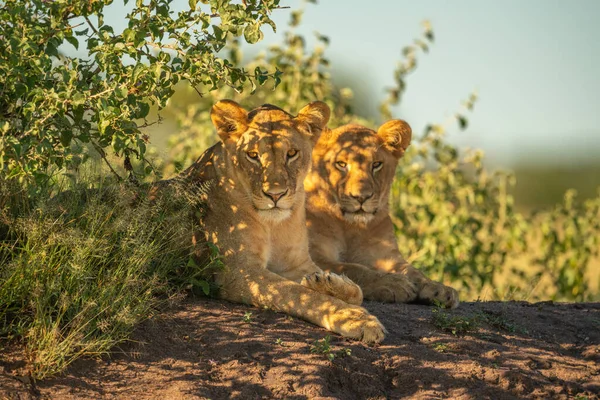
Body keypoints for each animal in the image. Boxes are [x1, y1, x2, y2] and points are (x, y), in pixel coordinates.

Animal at [180, 99, 384, 340]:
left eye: (292, 153)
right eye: (253, 155)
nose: (275, 195)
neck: (274, 225)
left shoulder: (296, 264)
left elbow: (357, 291)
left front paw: (327, 283)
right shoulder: (239, 271)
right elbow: (299, 294)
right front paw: (355, 318)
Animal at [304, 120, 460, 308]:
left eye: (376, 164)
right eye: (341, 164)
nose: (361, 197)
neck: (349, 226)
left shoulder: (388, 257)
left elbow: (414, 271)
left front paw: (439, 288)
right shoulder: (311, 255)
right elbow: (352, 268)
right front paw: (392, 284)